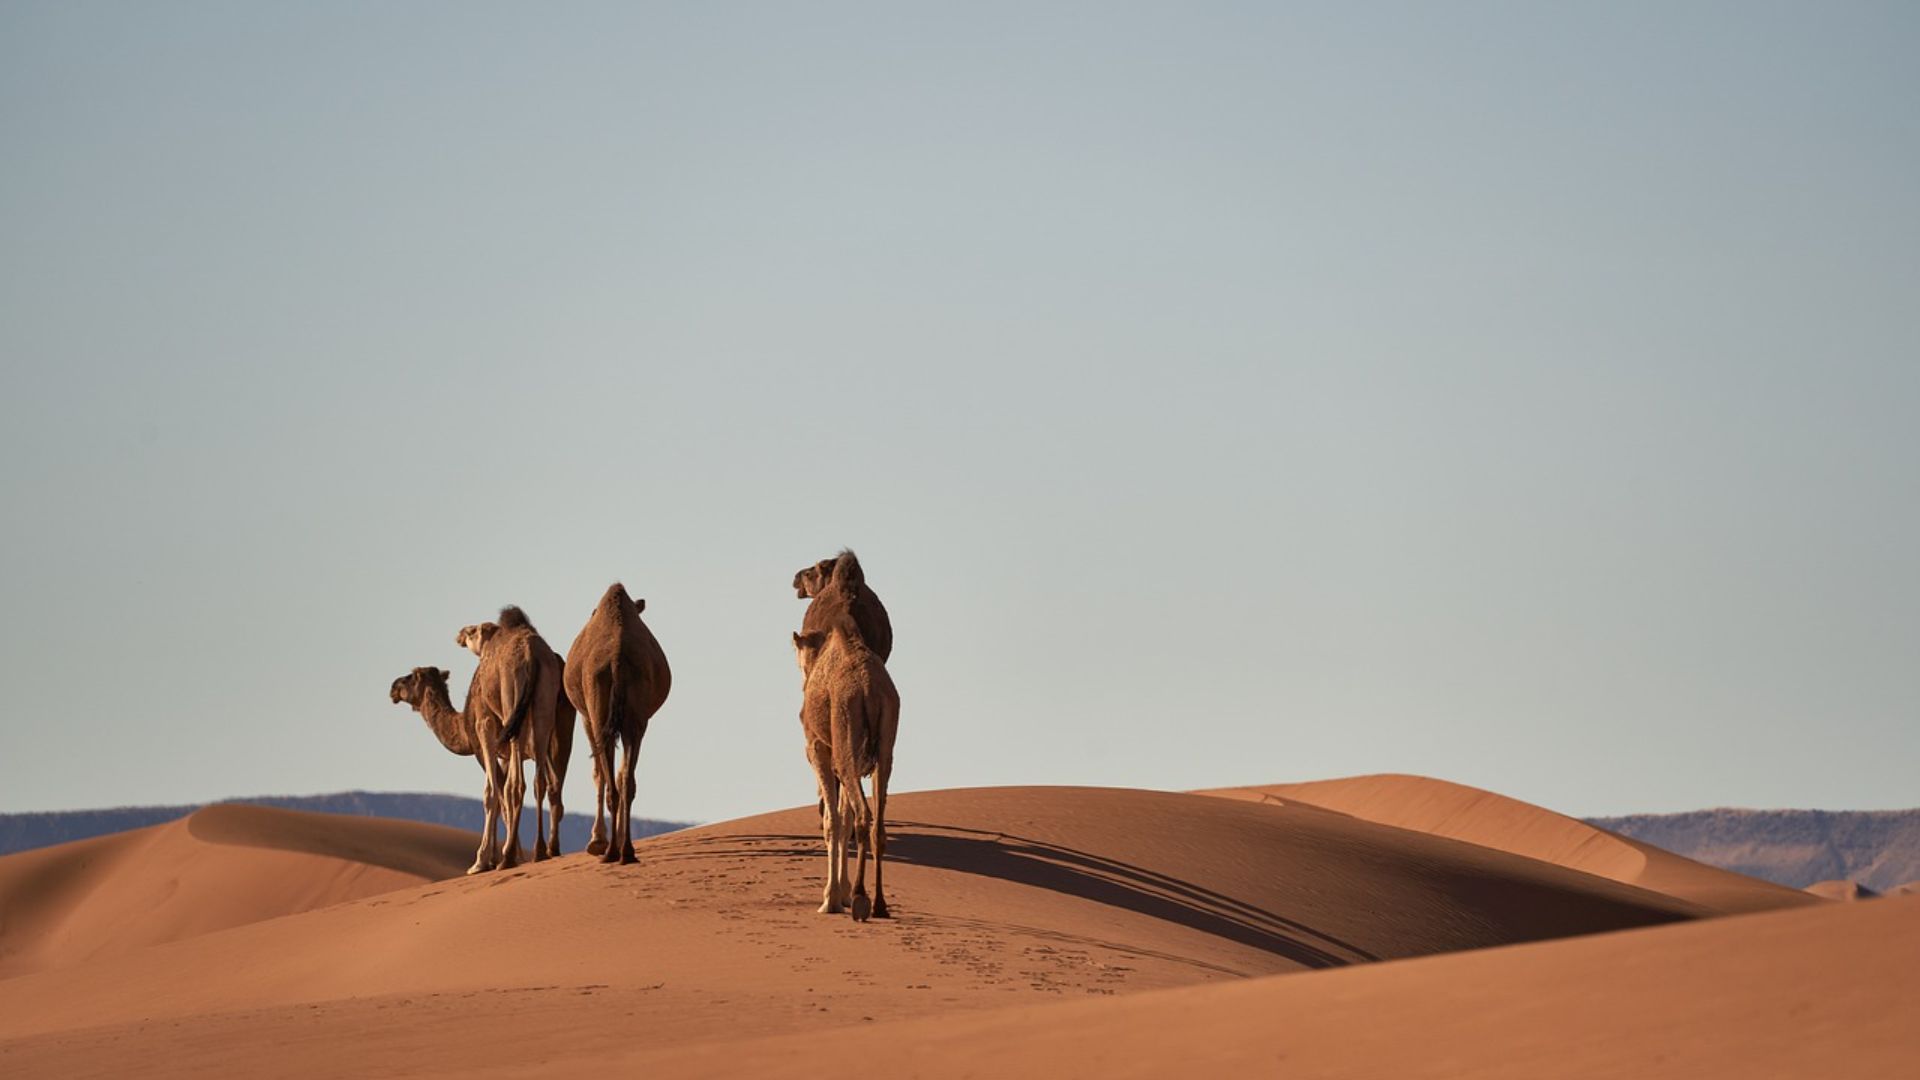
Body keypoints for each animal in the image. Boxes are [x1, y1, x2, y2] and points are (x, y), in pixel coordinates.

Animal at [388, 639, 540, 874]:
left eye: (412, 675)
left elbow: (496, 795)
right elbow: (504, 797)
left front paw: (489, 859)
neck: (462, 725)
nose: (393, 687)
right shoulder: (504, 755)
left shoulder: (481, 746)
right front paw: (502, 857)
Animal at [458, 617, 591, 858]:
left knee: (516, 784)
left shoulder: (485, 723)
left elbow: (493, 791)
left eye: (472, 631)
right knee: (546, 781)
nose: (460, 634)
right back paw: (543, 849)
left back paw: (511, 855)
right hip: (545, 708)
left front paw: (482, 859)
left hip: (513, 703)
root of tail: (532, 655)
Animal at [564, 583, 671, 864]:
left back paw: (610, 851)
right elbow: (621, 774)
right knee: (626, 782)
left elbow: (598, 774)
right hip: (636, 719)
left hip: (599, 709)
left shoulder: (587, 718)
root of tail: (616, 658)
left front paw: (596, 841)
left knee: (611, 779)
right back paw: (626, 851)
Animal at [792, 619, 898, 921]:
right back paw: (880, 905)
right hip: (885, 747)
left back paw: (862, 898)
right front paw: (842, 892)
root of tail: (869, 689)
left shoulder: (818, 748)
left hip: (845, 735)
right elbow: (843, 819)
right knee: (877, 824)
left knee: (863, 814)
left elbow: (833, 822)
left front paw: (831, 900)